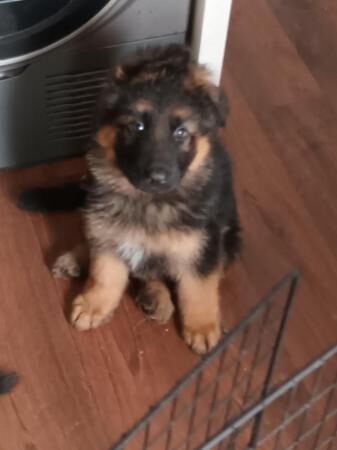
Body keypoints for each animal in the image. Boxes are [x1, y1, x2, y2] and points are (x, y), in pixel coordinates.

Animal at [18, 45, 240, 356]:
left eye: (181, 132)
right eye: (137, 126)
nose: (156, 177)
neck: (148, 201)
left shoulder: (204, 244)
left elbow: (199, 287)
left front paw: (202, 327)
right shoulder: (108, 228)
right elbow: (104, 271)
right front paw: (95, 303)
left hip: (229, 238)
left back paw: (156, 297)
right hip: (94, 212)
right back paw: (79, 260)